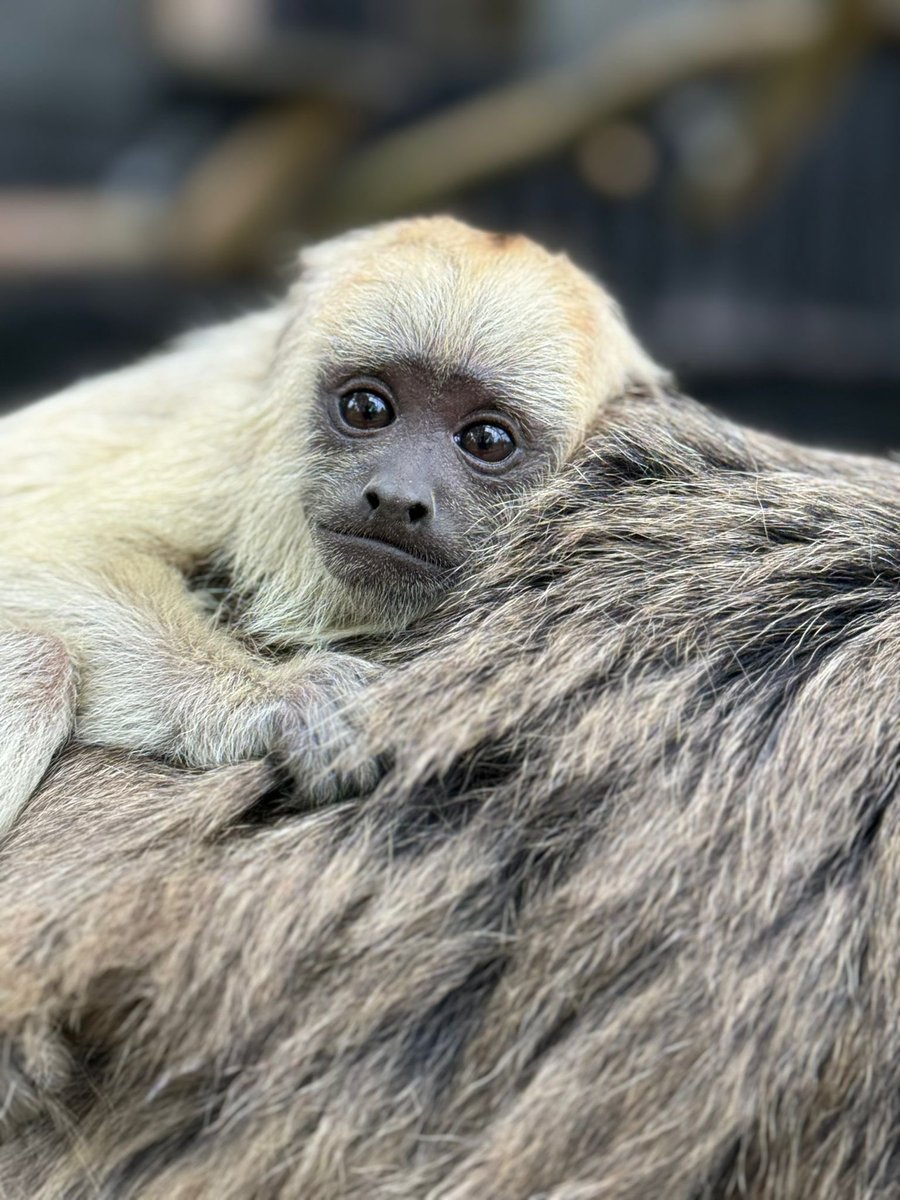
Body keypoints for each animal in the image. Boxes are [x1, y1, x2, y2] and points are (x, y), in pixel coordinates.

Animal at [0, 216, 668, 831]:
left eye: (485, 440)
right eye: (367, 408)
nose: (397, 498)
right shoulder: (233, 432)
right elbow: (53, 551)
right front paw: (276, 697)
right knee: (39, 661)